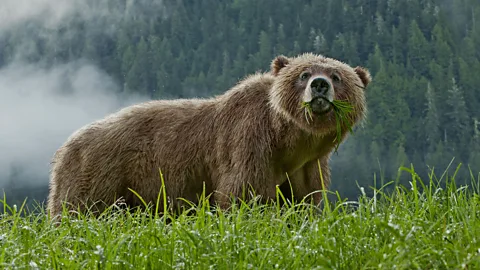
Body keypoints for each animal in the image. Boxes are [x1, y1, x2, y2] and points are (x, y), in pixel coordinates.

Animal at [46, 53, 372, 217]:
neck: (289, 141)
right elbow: (242, 195)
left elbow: (303, 203)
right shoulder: (248, 143)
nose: (319, 85)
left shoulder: (307, 167)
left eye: (337, 76)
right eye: (303, 74)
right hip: (98, 175)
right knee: (79, 213)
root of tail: (64, 147)